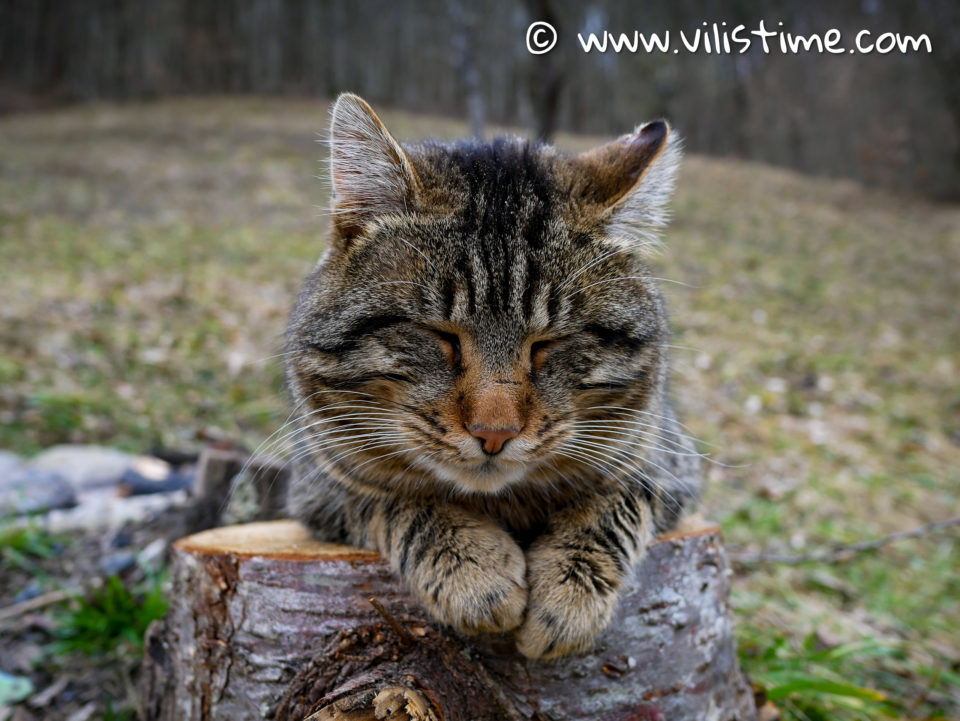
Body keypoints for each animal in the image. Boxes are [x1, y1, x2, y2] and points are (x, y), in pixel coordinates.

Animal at [284, 94, 696, 660]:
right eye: (440, 335)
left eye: (549, 343)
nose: (494, 432)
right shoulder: (320, 486)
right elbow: (405, 498)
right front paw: (474, 573)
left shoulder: (666, 463)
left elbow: (614, 504)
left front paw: (568, 598)